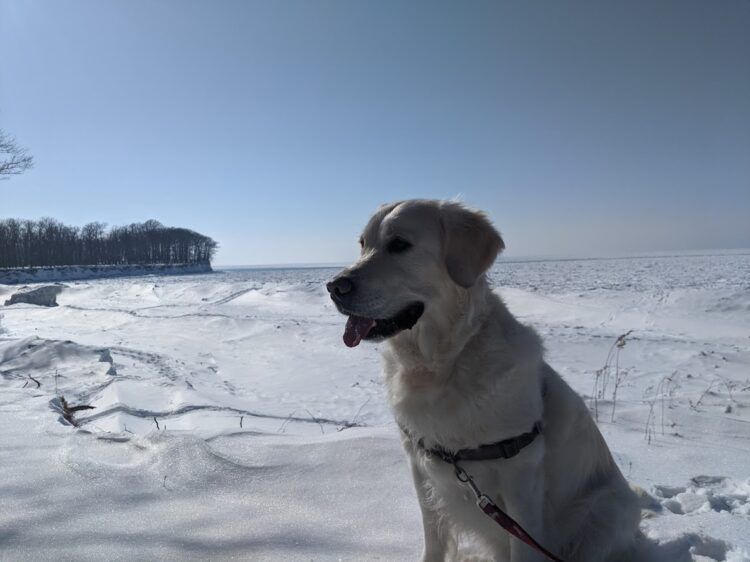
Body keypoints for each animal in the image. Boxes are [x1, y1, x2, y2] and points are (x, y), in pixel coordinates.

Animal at [328, 198, 640, 560]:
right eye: (363, 244)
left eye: (400, 244)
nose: (334, 286)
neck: (442, 364)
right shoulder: (419, 464)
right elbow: (433, 538)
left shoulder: (521, 470)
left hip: (606, 511)